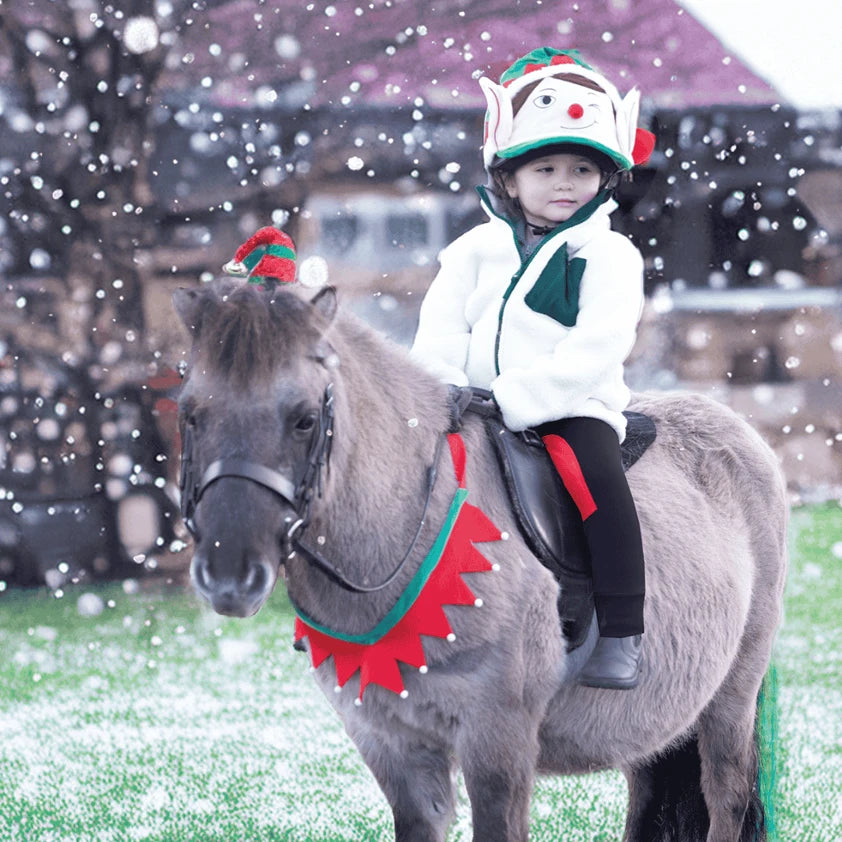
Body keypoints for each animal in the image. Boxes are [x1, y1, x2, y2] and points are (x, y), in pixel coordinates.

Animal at [173, 278, 787, 842]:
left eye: (303, 418)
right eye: (191, 415)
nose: (229, 577)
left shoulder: (497, 740)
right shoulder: (390, 744)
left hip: (732, 695)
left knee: (728, 797)